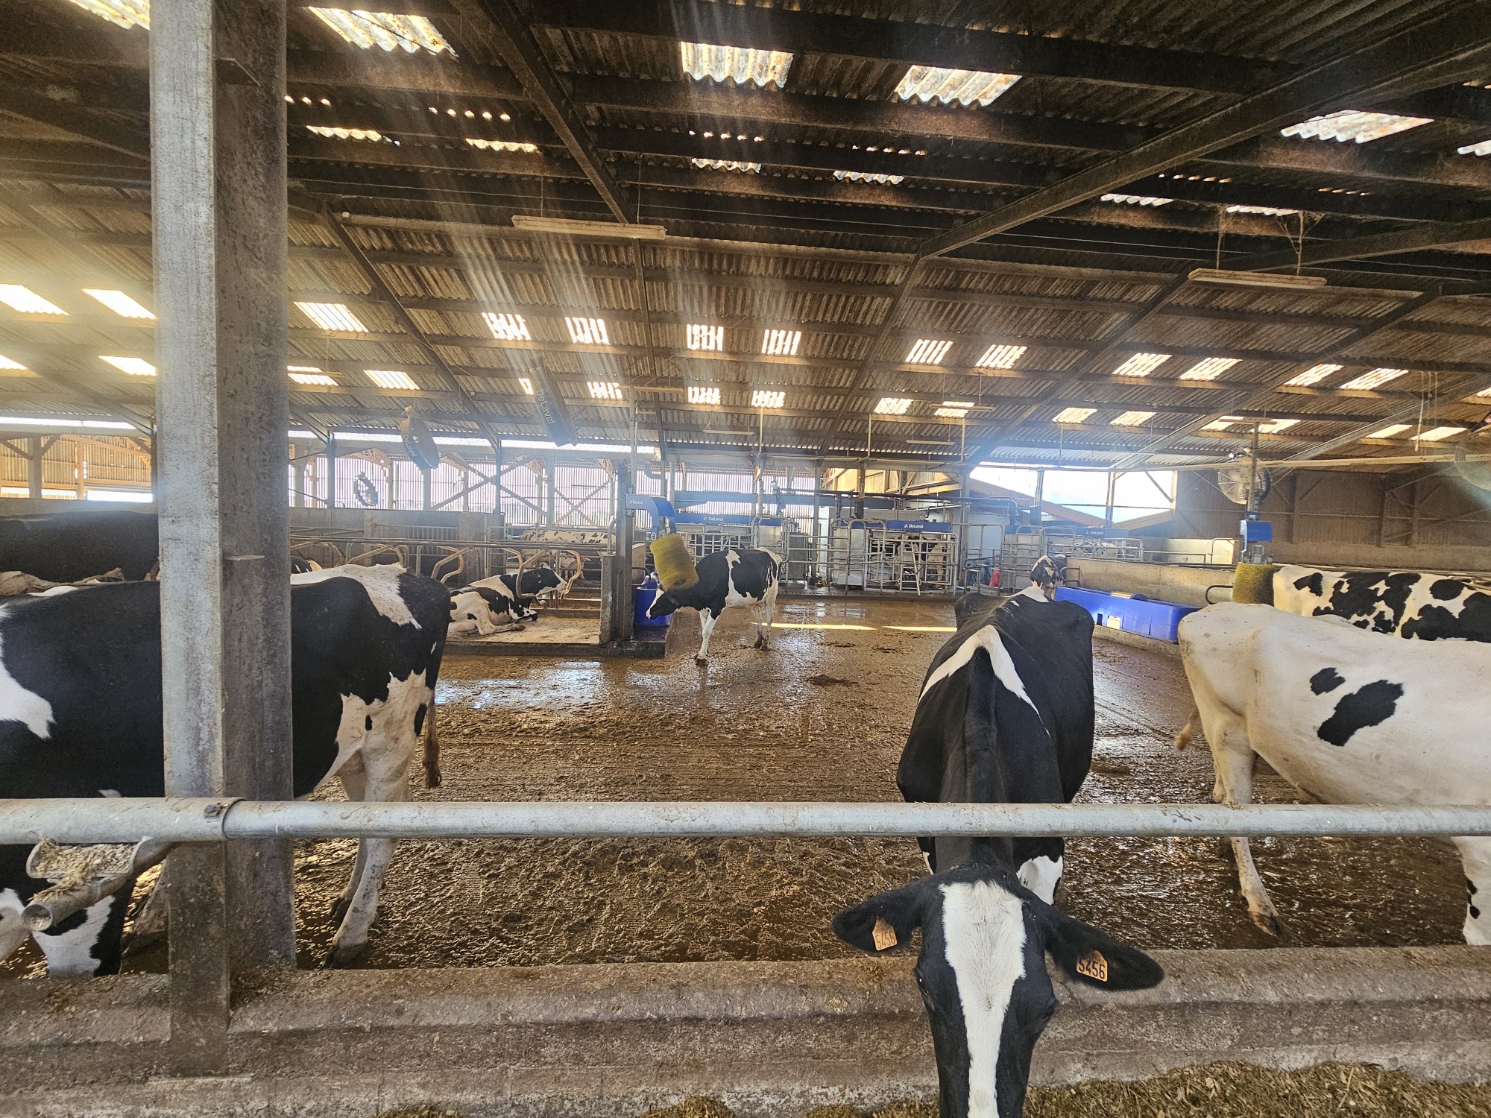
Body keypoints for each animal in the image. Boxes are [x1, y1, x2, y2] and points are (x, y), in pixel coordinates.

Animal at [2, 563, 450, 977]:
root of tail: (404, 574)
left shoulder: (78, 878)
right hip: (352, 750)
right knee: (365, 818)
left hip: (389, 740)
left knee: (383, 833)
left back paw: (351, 935)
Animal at [641, 548, 781, 664]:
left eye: (662, 600)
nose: (647, 613)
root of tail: (771, 553)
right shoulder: (702, 608)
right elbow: (704, 629)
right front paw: (703, 651)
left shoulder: (716, 607)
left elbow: (706, 631)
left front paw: (702, 656)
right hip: (755, 600)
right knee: (759, 618)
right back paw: (758, 641)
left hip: (771, 596)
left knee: (769, 619)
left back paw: (765, 644)